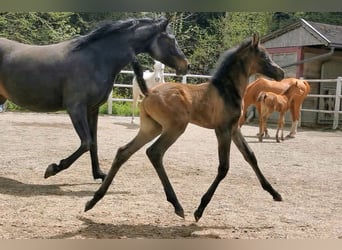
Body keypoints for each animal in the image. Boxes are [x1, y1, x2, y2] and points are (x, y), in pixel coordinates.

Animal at [85, 34, 284, 222]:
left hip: (151, 128)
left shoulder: (234, 129)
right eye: (264, 56)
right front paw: (200, 210)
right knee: (154, 152)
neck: (226, 90)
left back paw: (93, 200)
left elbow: (250, 156)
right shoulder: (222, 129)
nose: (280, 72)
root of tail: (149, 93)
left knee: (124, 151)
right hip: (176, 127)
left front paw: (275, 193)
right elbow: (223, 167)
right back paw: (177, 205)